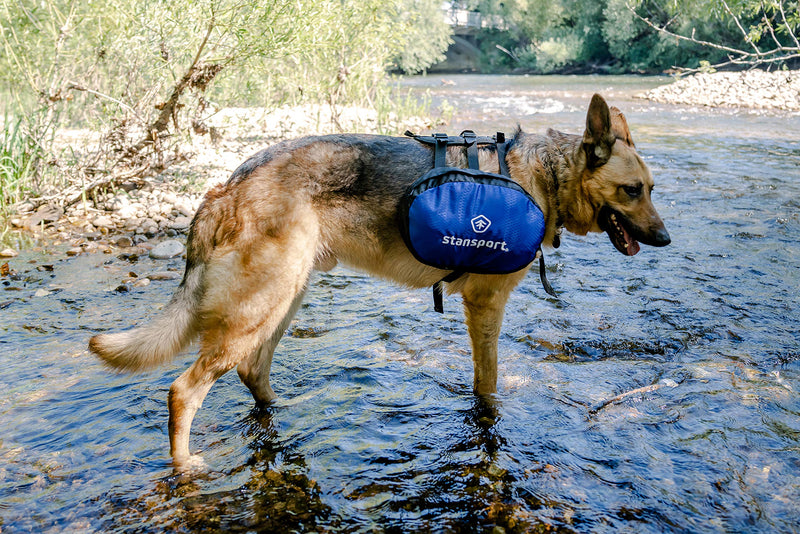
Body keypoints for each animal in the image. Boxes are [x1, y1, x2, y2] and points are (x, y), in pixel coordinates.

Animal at [90, 96, 668, 468]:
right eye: (632, 190)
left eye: (651, 189)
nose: (664, 238)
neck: (544, 176)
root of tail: (226, 185)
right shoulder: (486, 307)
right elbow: (487, 387)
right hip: (258, 308)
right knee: (183, 391)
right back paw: (185, 465)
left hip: (282, 300)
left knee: (253, 371)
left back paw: (282, 411)